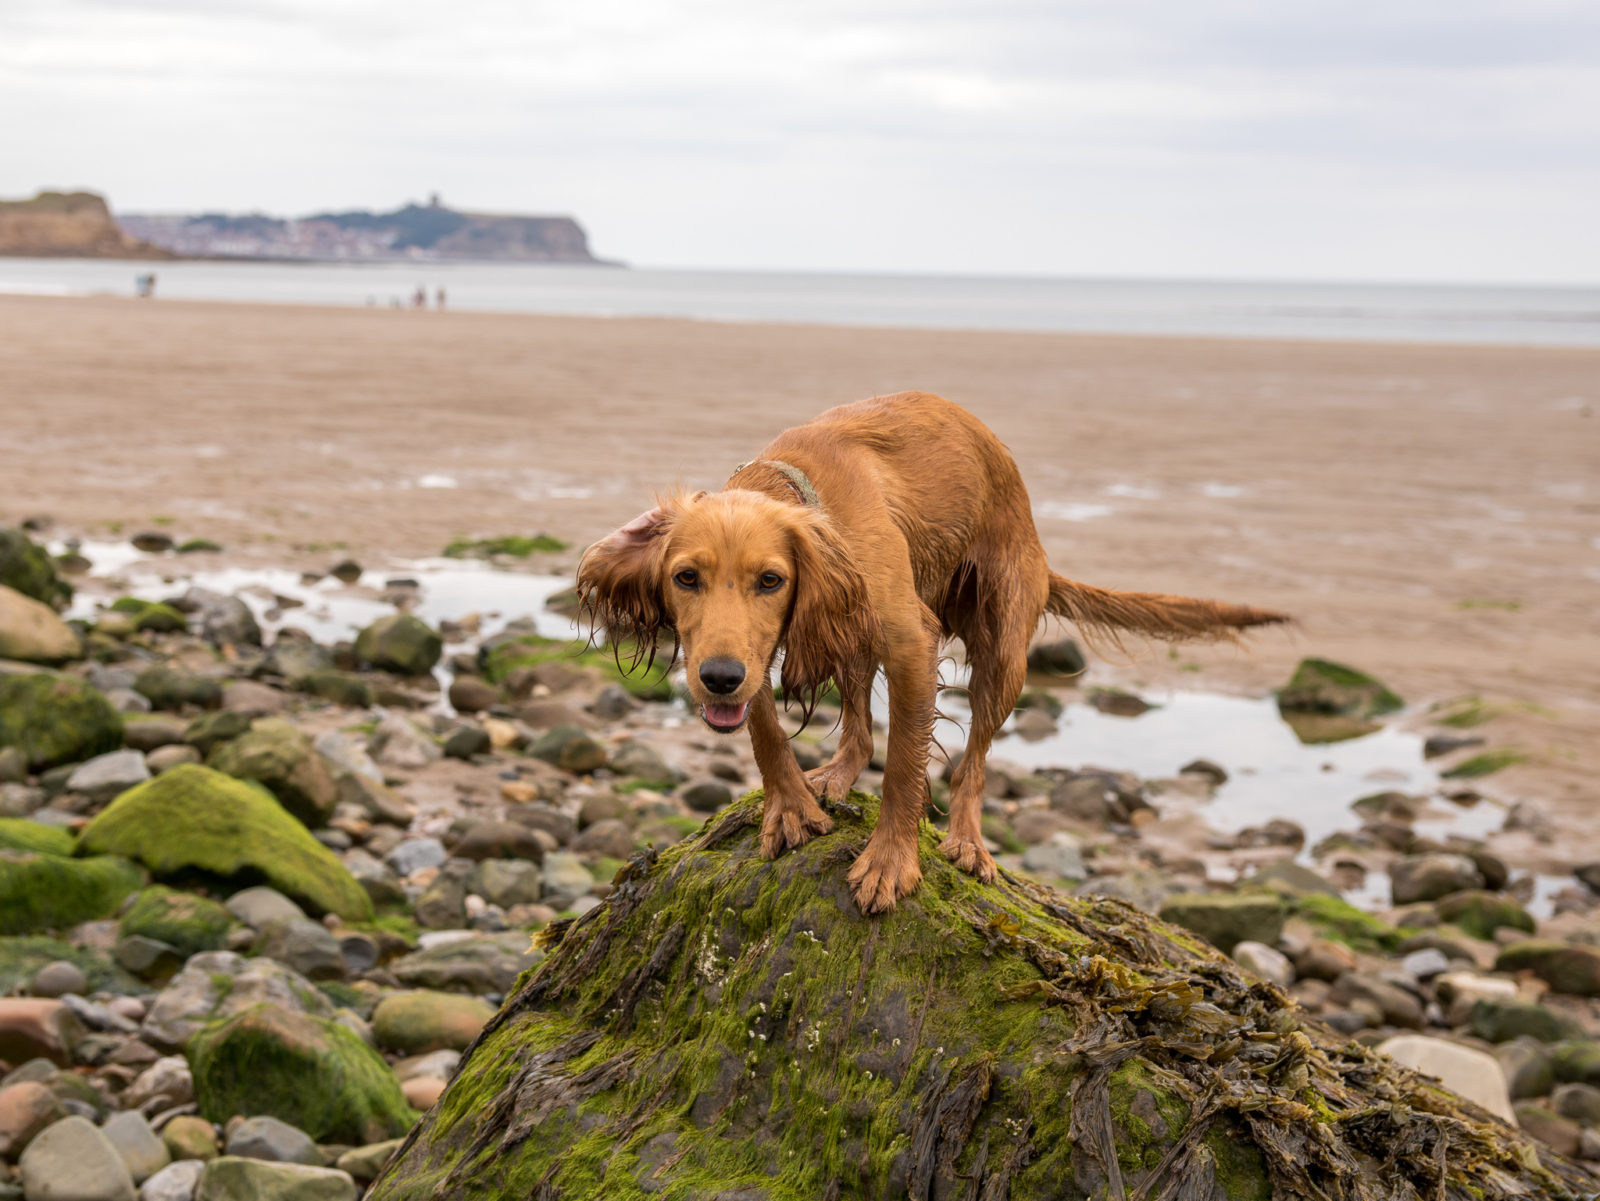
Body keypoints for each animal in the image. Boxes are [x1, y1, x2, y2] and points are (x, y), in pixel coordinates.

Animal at [579, 395, 1286, 908]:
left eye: (771, 580)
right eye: (685, 577)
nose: (719, 678)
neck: (802, 489)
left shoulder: (910, 645)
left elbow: (904, 769)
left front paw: (891, 862)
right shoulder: (757, 651)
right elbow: (766, 731)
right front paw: (791, 805)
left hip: (1002, 645)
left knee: (973, 764)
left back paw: (968, 842)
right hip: (849, 636)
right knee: (859, 728)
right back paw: (834, 774)